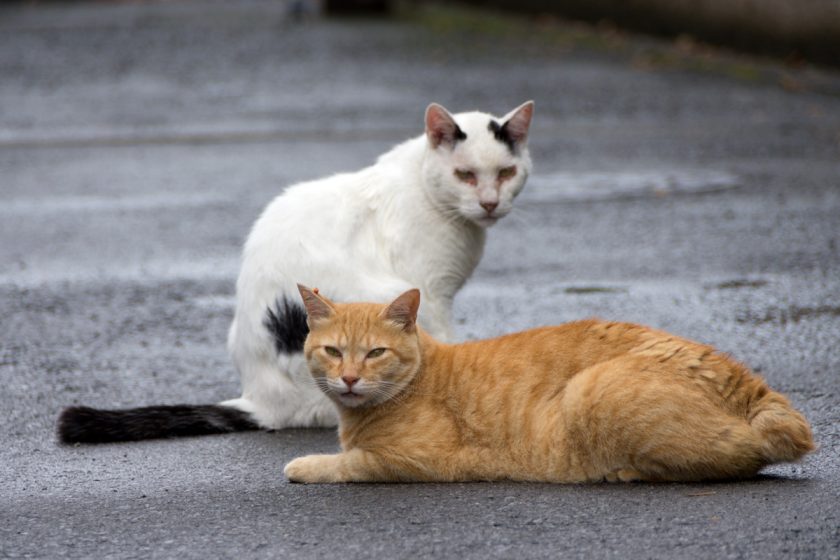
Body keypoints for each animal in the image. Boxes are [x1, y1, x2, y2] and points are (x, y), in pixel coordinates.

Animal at [59, 101, 536, 442]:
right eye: (465, 175)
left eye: (506, 172)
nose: (490, 203)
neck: (424, 186)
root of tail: (259, 399)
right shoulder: (430, 295)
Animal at [284, 286, 812, 484]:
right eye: (334, 352)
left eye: (375, 353)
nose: (350, 377)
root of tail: (747, 382)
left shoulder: (416, 460)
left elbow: (350, 463)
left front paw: (306, 464)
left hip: (591, 389)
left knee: (729, 459)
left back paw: (624, 472)